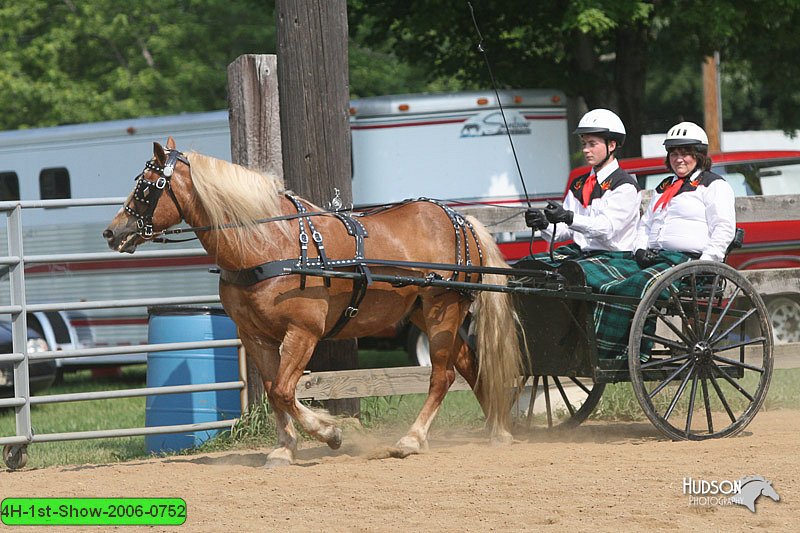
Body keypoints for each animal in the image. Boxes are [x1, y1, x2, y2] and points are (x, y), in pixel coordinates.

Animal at [104, 137, 524, 466]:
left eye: (146, 187)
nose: (112, 232)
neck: (268, 244)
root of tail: (461, 220)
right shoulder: (255, 336)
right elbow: (274, 391)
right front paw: (285, 448)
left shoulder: (302, 332)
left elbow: (284, 391)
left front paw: (331, 432)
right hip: (425, 314)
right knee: (469, 363)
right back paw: (498, 430)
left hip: (443, 310)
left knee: (443, 375)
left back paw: (411, 440)